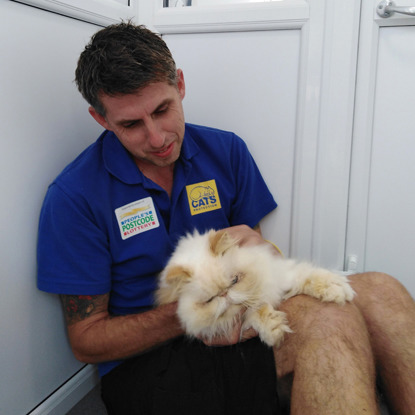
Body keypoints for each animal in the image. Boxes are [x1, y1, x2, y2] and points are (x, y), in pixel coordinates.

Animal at [154, 231, 356, 348]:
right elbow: (256, 313)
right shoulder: (244, 315)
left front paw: (338, 290)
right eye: (210, 299)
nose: (225, 295)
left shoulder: (282, 276)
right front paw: (274, 331)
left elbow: (311, 277)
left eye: (234, 280)